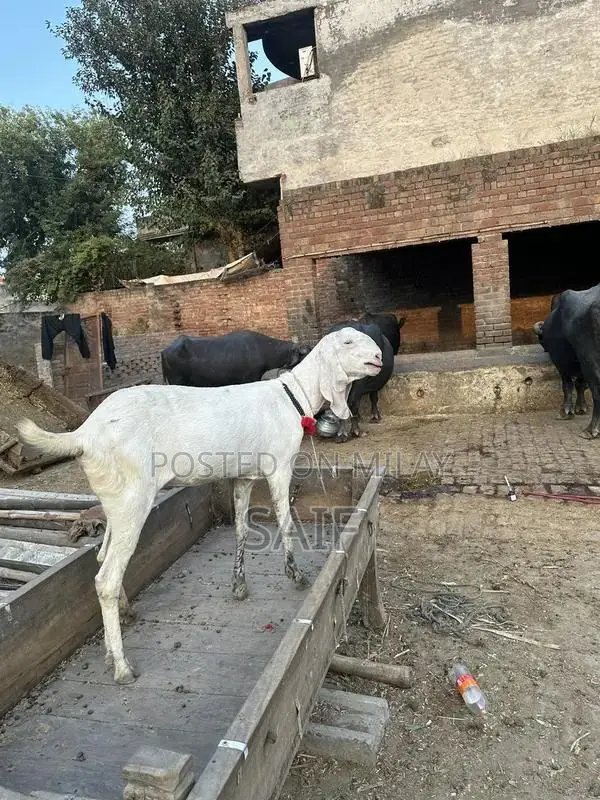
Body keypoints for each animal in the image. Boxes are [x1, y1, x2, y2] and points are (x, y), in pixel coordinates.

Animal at [17, 328, 383, 685]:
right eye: (348, 341)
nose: (379, 356)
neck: (291, 396)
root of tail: (85, 433)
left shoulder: (244, 476)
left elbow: (241, 529)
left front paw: (239, 585)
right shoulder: (278, 466)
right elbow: (285, 521)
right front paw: (296, 575)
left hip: (115, 500)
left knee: (104, 556)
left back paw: (118, 631)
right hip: (133, 499)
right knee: (105, 578)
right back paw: (121, 666)